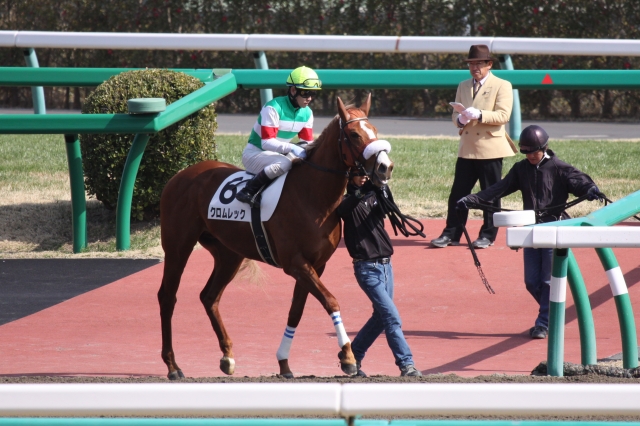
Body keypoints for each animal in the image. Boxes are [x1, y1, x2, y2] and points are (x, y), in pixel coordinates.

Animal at [158, 94, 394, 379]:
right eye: (354, 134)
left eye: (375, 130)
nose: (385, 167)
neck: (312, 195)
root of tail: (180, 175)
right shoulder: (295, 264)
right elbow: (331, 301)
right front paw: (348, 357)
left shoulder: (316, 265)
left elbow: (296, 311)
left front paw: (284, 363)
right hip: (178, 246)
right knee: (167, 297)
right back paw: (172, 366)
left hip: (229, 254)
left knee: (209, 296)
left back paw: (227, 356)